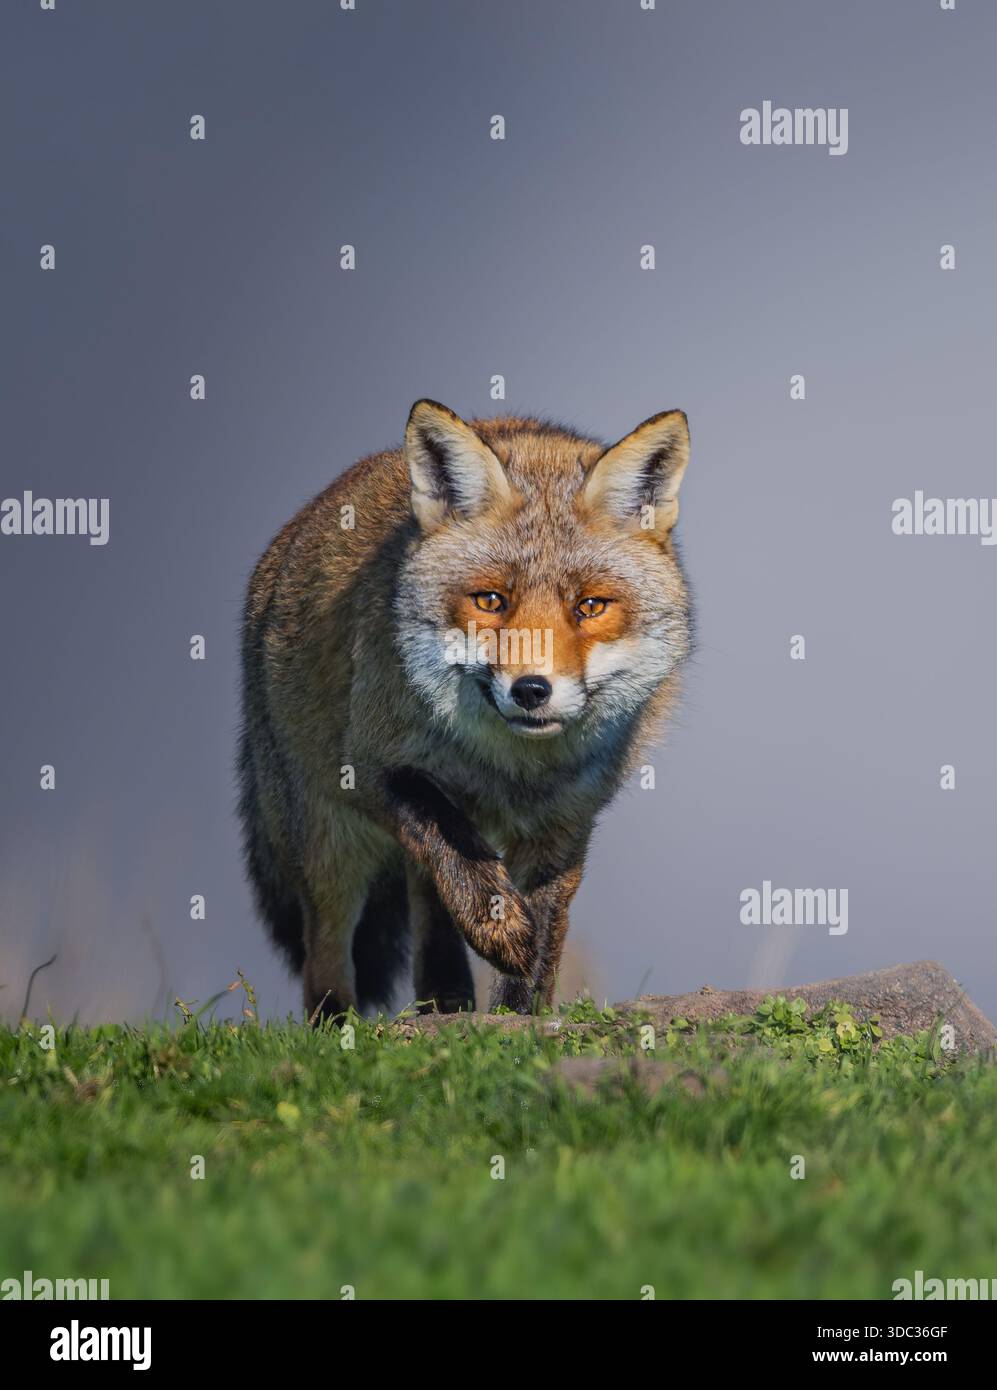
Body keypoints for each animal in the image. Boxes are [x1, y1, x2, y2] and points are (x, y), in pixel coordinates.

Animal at [238, 399, 692, 1020]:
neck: (511, 772)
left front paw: (518, 1014)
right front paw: (500, 930)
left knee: (427, 905)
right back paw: (337, 1023)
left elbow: (541, 941)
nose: (531, 689)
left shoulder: (567, 821)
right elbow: (451, 839)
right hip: (326, 840)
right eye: (490, 601)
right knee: (326, 951)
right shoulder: (371, 767)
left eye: (590, 606)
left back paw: (444, 1002)